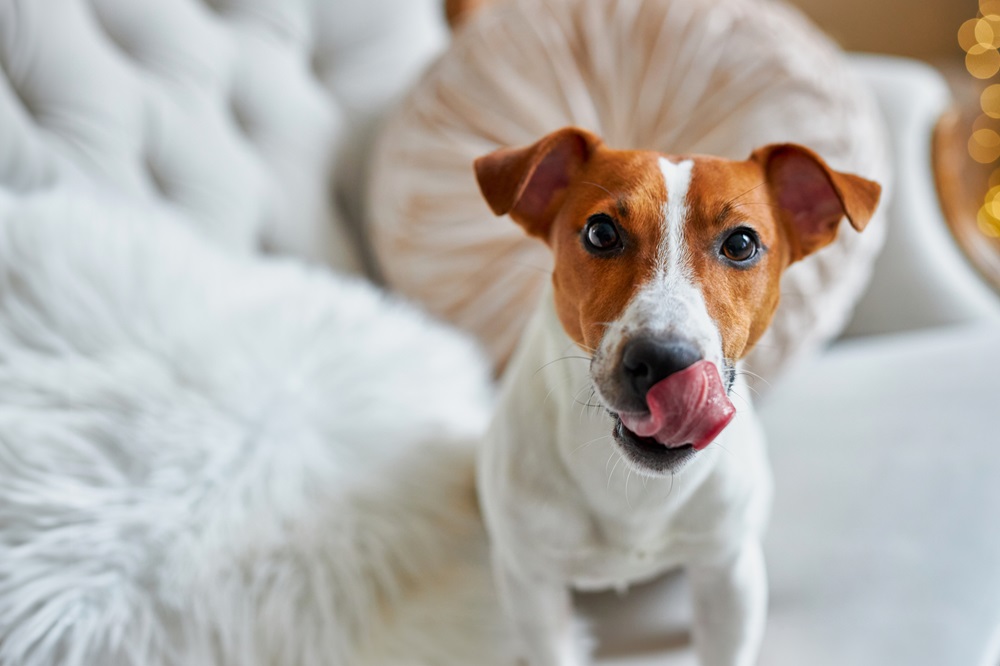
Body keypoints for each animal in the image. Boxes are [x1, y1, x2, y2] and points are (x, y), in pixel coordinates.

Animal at [472, 126, 880, 664]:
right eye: (601, 233)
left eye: (741, 243)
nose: (664, 360)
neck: (632, 490)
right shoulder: (533, 589)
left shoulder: (728, 574)